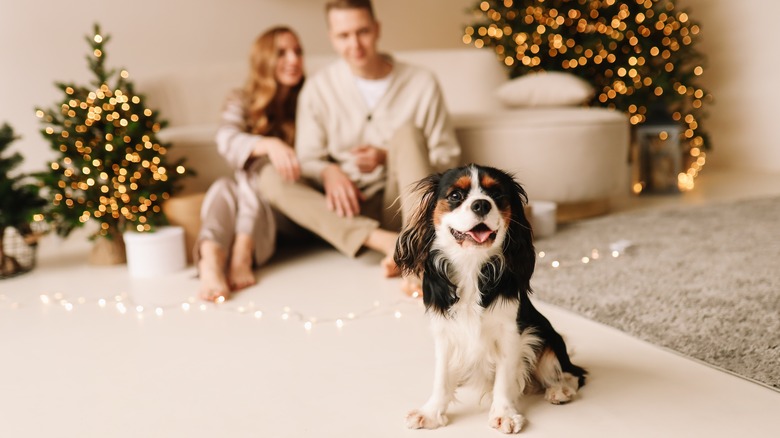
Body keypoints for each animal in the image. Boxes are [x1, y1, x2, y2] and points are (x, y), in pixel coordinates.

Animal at [396, 165, 584, 434]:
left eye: (496, 194)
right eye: (455, 196)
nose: (481, 204)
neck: (470, 264)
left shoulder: (511, 332)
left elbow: (504, 378)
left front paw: (504, 414)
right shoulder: (445, 333)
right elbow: (441, 377)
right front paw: (431, 413)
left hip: (546, 335)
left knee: (574, 372)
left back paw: (560, 389)